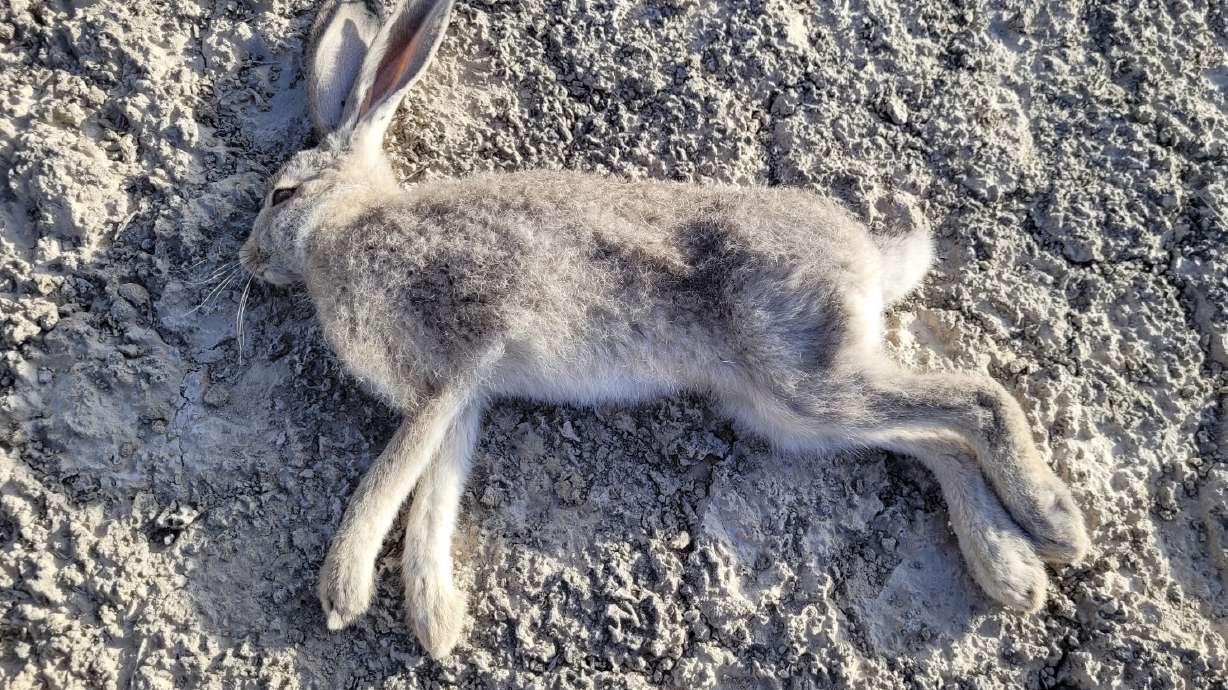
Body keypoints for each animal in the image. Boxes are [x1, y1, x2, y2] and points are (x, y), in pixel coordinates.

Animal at [240, 0, 1091, 659]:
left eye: (282, 195)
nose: (247, 260)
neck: (346, 228)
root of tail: (871, 261)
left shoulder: (458, 362)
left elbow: (394, 471)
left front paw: (343, 589)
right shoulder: (466, 400)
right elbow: (435, 491)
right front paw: (437, 620)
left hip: (807, 378)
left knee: (975, 400)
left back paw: (1055, 524)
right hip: (789, 411)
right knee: (934, 440)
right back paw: (1011, 568)